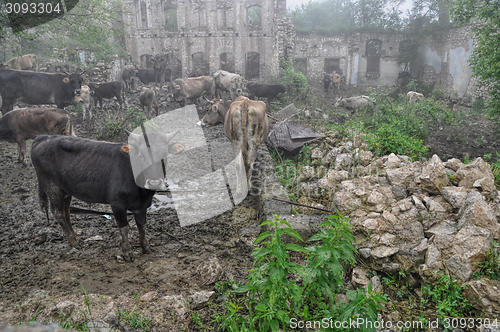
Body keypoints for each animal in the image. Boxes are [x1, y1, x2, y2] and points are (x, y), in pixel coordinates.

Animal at [31, 130, 184, 262]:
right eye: (141, 155)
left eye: (164, 155)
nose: (154, 182)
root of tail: (43, 137)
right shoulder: (117, 204)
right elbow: (124, 228)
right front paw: (127, 252)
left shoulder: (142, 205)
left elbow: (142, 225)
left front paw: (145, 247)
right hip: (52, 187)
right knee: (58, 213)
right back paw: (73, 241)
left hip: (65, 191)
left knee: (66, 211)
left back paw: (75, 236)